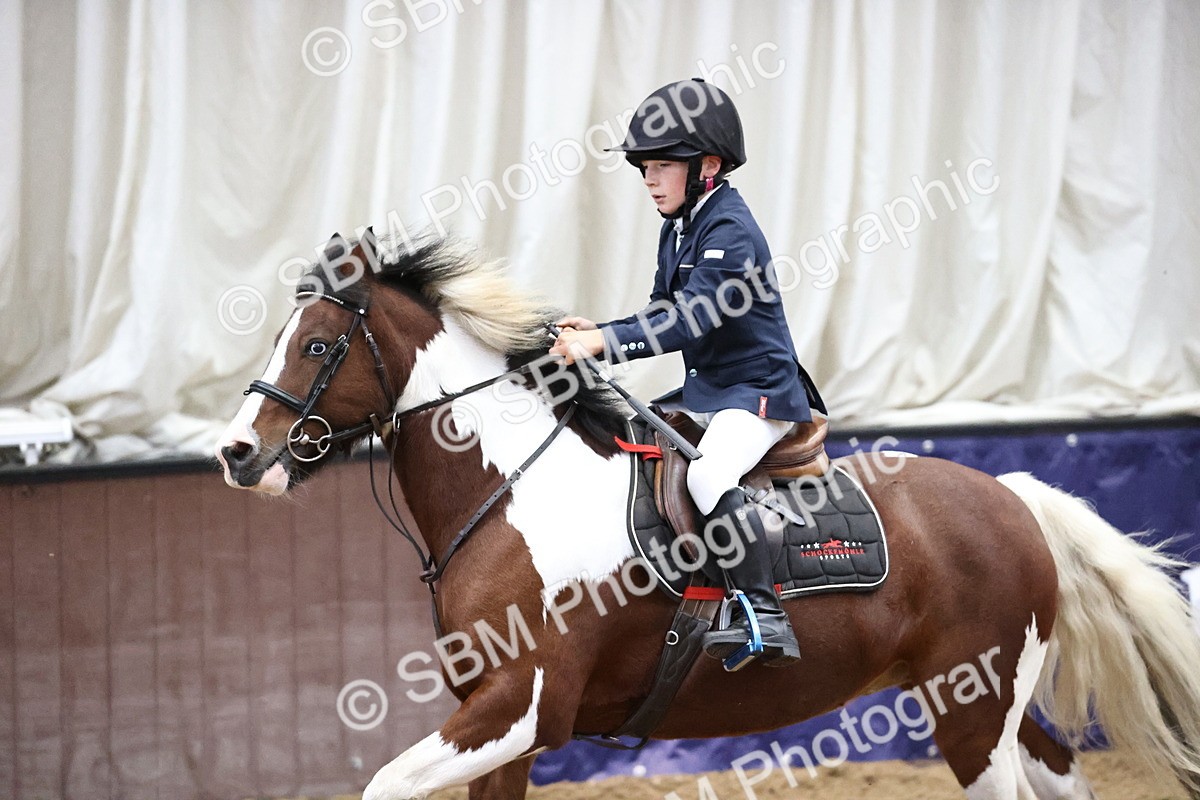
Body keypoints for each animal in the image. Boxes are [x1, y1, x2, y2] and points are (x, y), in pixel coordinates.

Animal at [215, 230, 1200, 800]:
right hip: (980, 701)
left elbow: (382, 783)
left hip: (973, 716)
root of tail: (1013, 495)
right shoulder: (504, 730)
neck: (514, 494)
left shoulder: (523, 708)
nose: (235, 454)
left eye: (316, 345)